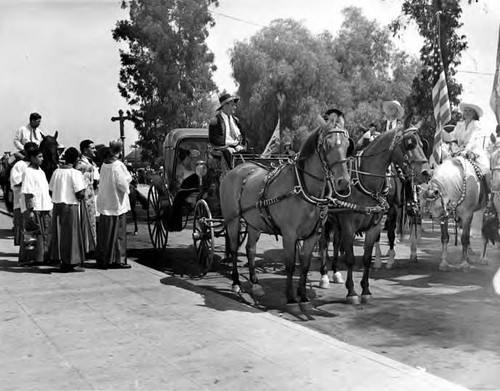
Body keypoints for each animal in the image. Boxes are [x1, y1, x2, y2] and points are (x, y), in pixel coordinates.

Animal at [221, 121, 354, 314]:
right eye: (328, 145)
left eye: (347, 145)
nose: (343, 182)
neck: (302, 188)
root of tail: (236, 169)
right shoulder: (289, 235)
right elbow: (290, 266)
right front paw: (291, 300)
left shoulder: (313, 235)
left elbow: (304, 265)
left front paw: (303, 297)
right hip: (233, 220)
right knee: (232, 248)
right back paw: (236, 283)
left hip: (254, 223)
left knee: (250, 249)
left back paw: (255, 283)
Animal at [318, 127, 428, 304]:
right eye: (409, 144)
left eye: (422, 144)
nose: (427, 172)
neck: (365, 183)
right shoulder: (349, 225)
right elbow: (350, 258)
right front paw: (352, 292)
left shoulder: (375, 224)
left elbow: (367, 257)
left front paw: (366, 290)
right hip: (324, 219)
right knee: (323, 243)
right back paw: (324, 276)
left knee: (335, 243)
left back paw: (335, 272)